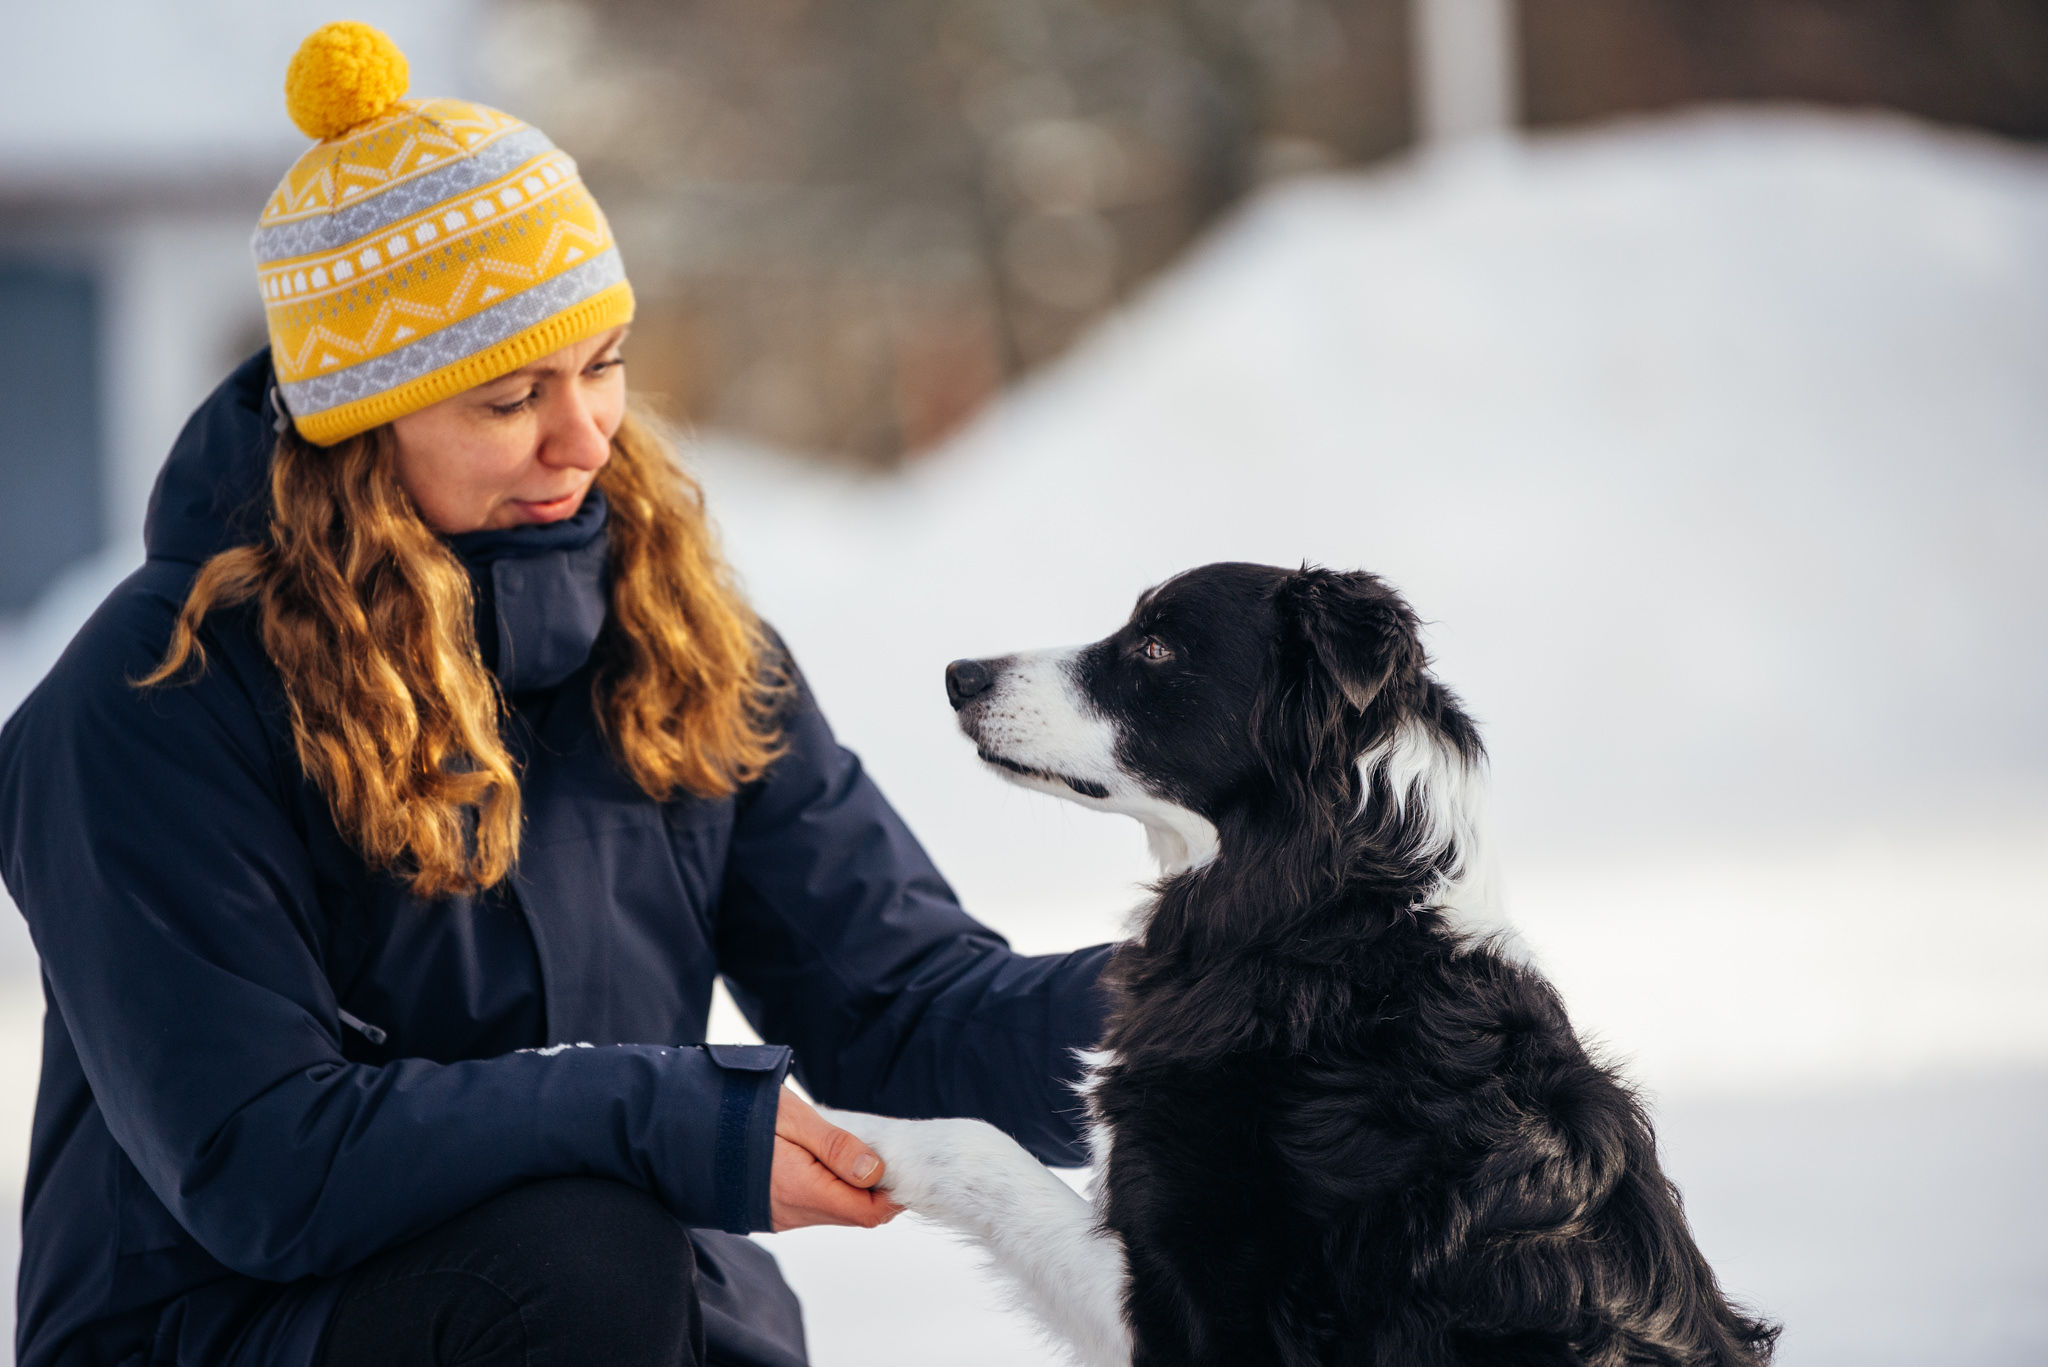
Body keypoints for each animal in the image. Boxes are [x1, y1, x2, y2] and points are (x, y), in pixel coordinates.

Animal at [823, 565, 1769, 1367]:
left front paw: (840, 1127)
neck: (1327, 925)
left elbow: (977, 1147)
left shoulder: (1192, 1303)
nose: (959, 674)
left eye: (1156, 647)